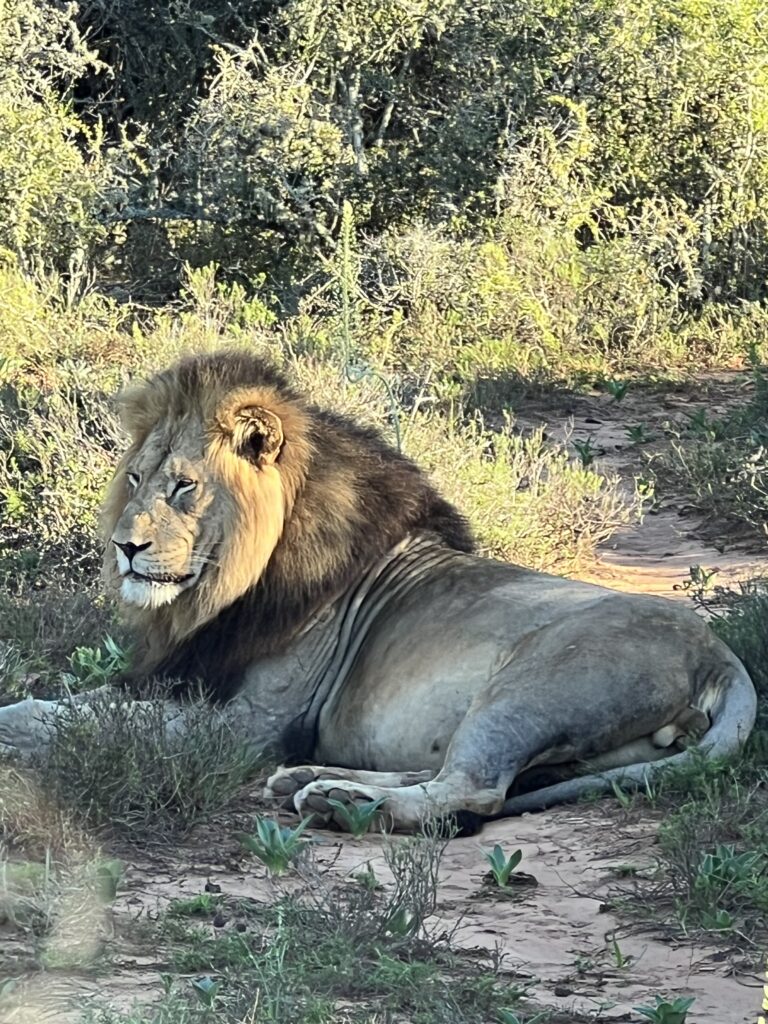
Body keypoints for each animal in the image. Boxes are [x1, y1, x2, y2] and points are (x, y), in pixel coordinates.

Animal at [0, 350, 756, 832]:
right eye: (134, 478)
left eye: (184, 486)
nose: (124, 546)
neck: (218, 595)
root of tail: (722, 656)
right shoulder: (186, 676)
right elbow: (69, 705)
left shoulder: (247, 724)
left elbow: (90, 720)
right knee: (461, 775)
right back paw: (309, 780)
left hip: (531, 687)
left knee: (472, 789)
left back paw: (341, 804)